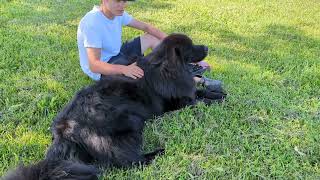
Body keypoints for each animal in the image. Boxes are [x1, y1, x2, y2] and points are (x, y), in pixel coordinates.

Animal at [5, 33, 225, 180]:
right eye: (192, 47)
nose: (206, 47)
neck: (168, 69)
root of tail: (64, 129)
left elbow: (201, 92)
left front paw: (218, 92)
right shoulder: (180, 103)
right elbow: (200, 100)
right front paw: (217, 97)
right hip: (130, 122)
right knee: (129, 162)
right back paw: (158, 152)